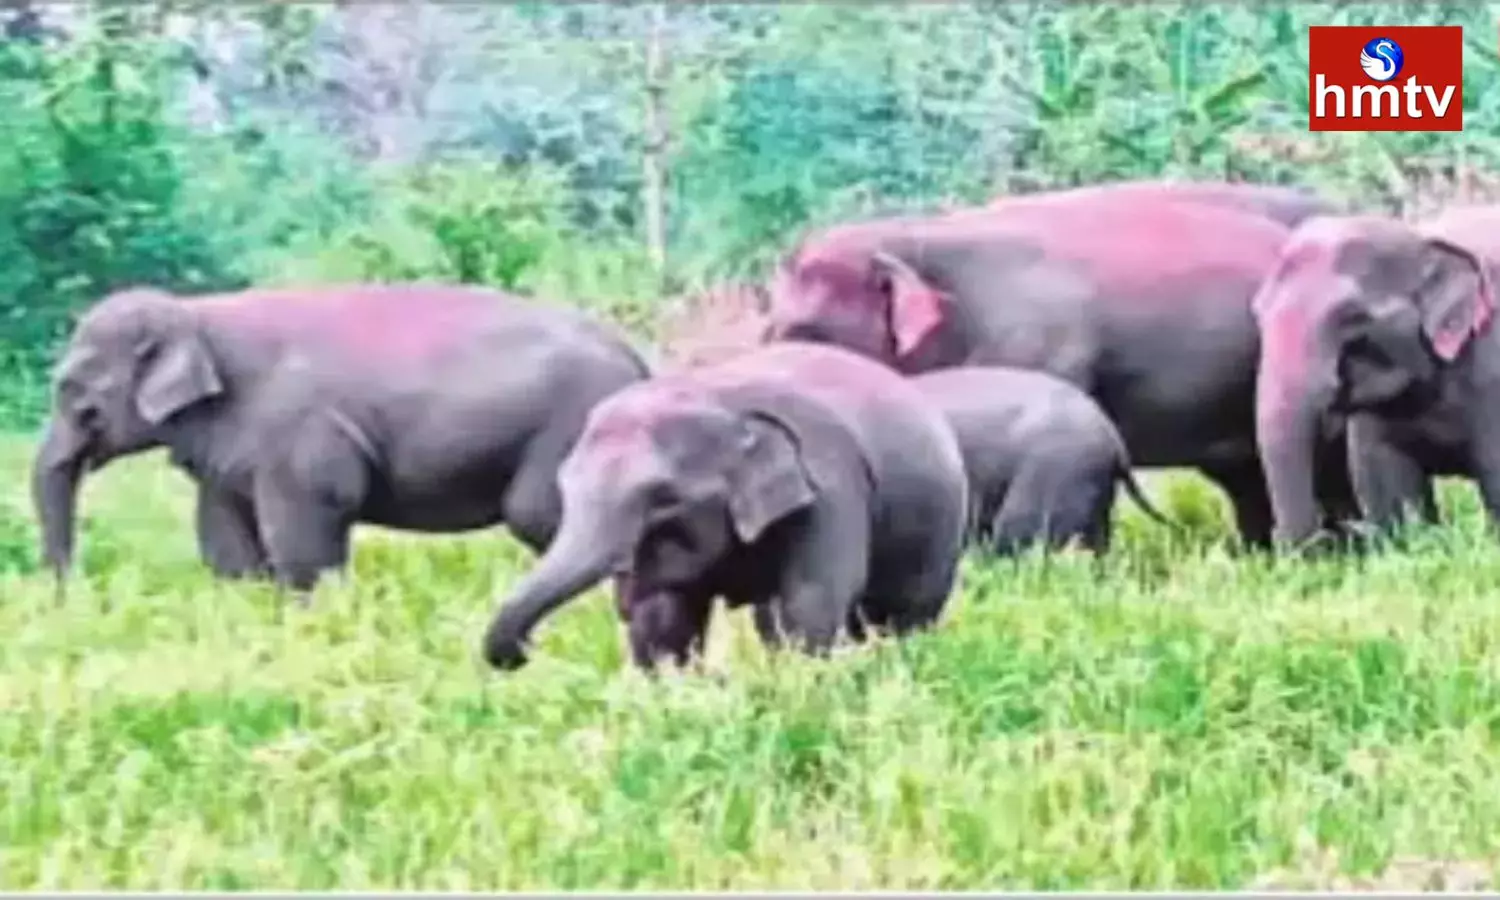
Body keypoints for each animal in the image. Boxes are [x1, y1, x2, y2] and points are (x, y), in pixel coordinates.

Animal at [33, 283, 651, 591]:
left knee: (539, 516)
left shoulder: (299, 433)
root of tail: (638, 358)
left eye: (74, 393)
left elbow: (309, 525)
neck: (197, 313)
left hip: (569, 428)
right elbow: (224, 536)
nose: (71, 590)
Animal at [480, 340, 972, 672]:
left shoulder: (832, 488)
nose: (529, 648)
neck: (723, 402)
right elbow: (665, 617)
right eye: (565, 488)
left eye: (664, 498)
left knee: (905, 615)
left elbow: (810, 602)